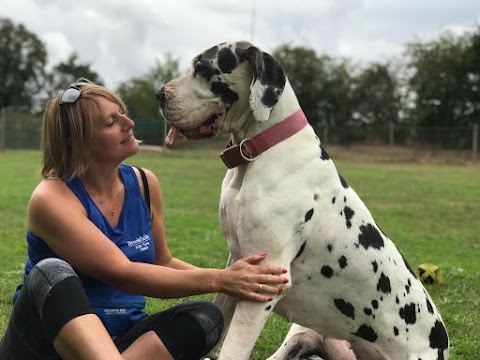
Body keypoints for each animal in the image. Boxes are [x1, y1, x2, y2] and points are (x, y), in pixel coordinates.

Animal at [158, 40, 450, 358]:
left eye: (202, 69)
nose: (159, 95)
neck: (260, 149)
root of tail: (443, 344)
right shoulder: (236, 269)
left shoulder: (262, 285)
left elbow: (232, 350)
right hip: (302, 335)